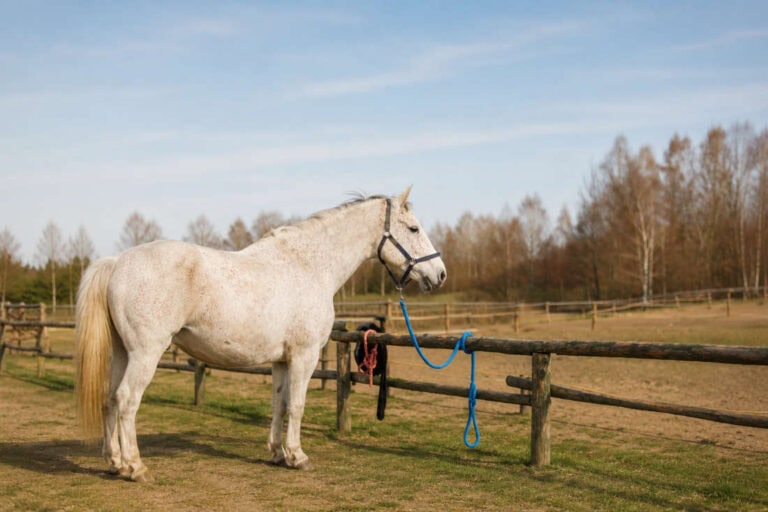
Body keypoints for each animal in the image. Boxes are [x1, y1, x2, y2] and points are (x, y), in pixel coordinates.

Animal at [75, 187, 446, 482]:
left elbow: (278, 405)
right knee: (127, 401)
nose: (440, 274)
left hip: (122, 353)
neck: (310, 265)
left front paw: (278, 454)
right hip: (145, 354)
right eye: (413, 228)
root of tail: (117, 262)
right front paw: (298, 456)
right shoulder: (304, 357)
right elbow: (297, 405)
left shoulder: (281, 361)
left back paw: (115, 463)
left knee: (110, 399)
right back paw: (135, 467)